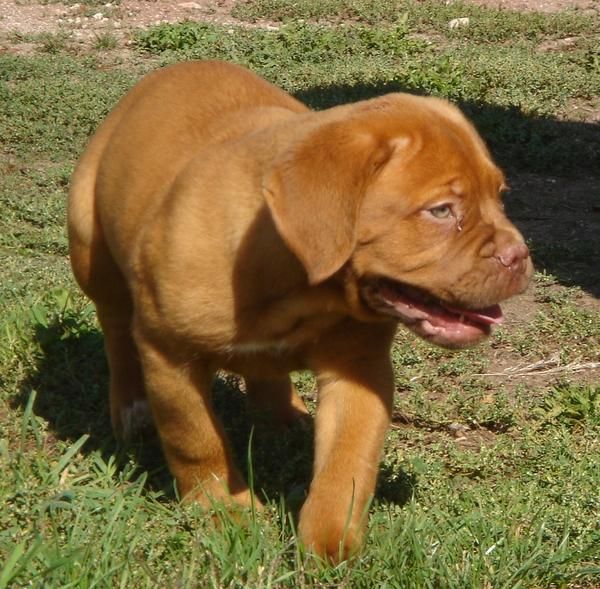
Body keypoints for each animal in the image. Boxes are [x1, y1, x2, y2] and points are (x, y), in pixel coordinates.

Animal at [68, 59, 532, 560]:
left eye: (500, 194)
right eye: (441, 211)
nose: (520, 255)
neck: (297, 288)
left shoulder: (360, 368)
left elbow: (348, 463)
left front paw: (329, 543)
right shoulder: (169, 356)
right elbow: (195, 439)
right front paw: (224, 510)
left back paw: (283, 415)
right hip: (90, 248)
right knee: (116, 326)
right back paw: (131, 407)